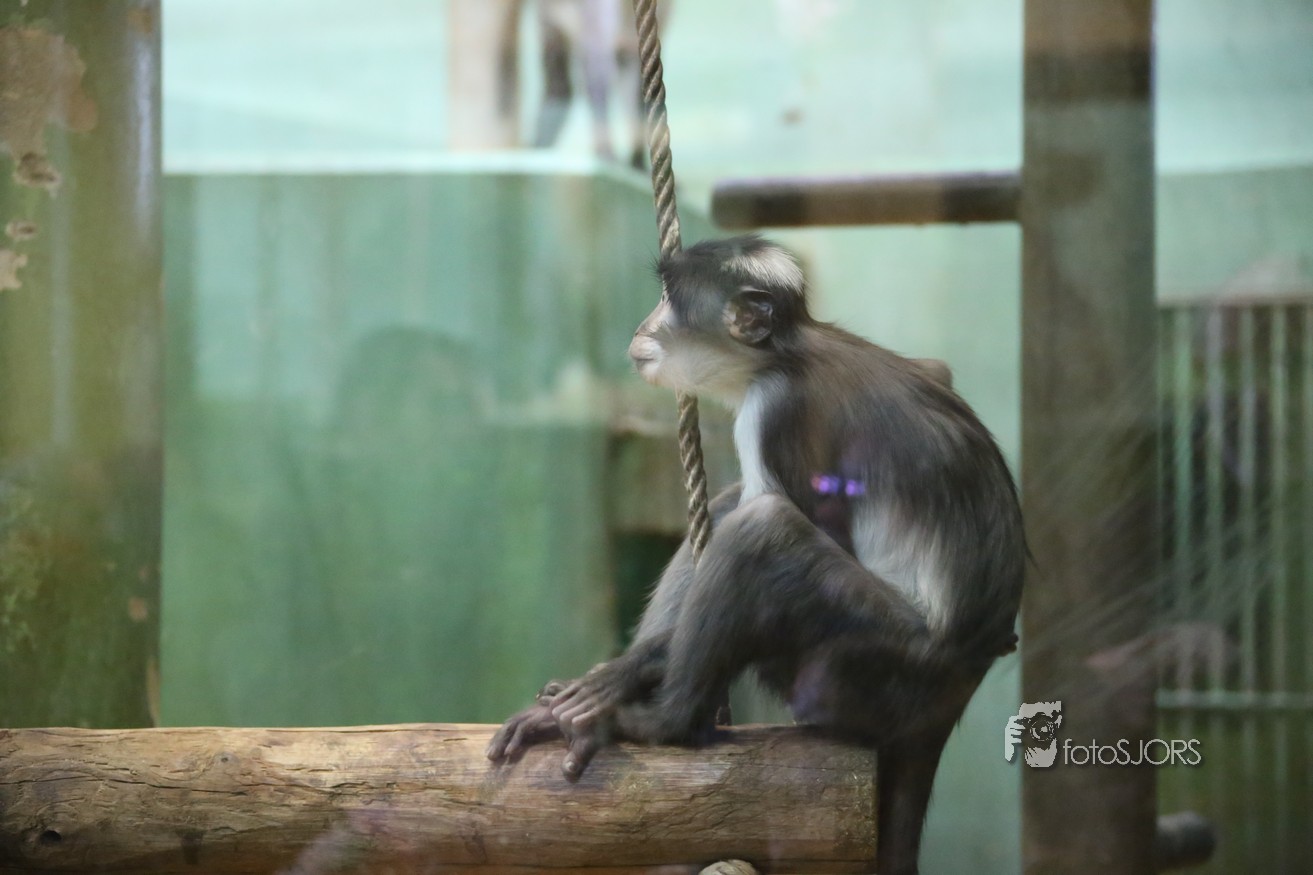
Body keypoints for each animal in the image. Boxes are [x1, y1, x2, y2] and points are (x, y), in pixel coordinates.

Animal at [487, 235, 1025, 875]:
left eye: (667, 298)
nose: (642, 324)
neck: (786, 354)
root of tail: (964, 677)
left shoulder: (775, 408)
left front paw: (614, 680)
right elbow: (937, 373)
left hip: (878, 664)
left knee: (762, 530)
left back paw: (666, 721)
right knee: (730, 507)